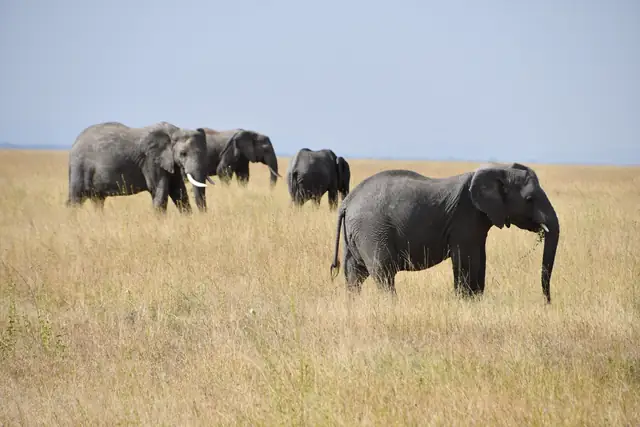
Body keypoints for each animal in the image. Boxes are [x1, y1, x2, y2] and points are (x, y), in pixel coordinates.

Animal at [66, 121, 211, 213]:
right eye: (183, 154)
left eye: (205, 153)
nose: (203, 216)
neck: (174, 131)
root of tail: (75, 142)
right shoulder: (151, 160)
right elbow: (160, 190)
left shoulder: (169, 162)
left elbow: (178, 191)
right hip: (79, 167)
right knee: (75, 199)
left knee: (97, 200)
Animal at [329, 163, 560, 303]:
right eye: (529, 199)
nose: (547, 302)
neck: (498, 170)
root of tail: (347, 203)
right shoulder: (465, 218)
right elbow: (467, 260)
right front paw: (465, 302)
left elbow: (480, 259)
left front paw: (476, 301)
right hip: (372, 231)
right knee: (383, 272)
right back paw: (391, 305)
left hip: (355, 235)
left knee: (354, 274)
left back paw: (353, 305)